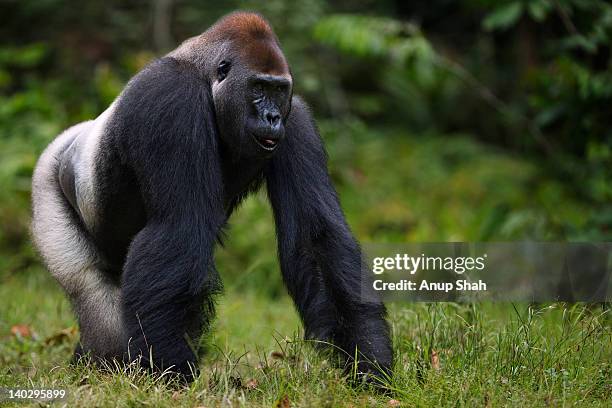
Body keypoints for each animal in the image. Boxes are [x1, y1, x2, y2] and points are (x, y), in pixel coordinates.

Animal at [29, 11, 392, 384]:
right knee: (91, 290)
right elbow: (181, 228)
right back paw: (98, 363)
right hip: (47, 180)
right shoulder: (172, 97)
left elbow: (316, 239)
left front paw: (368, 362)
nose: (273, 117)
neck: (204, 76)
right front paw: (170, 369)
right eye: (258, 88)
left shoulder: (298, 120)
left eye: (279, 90)